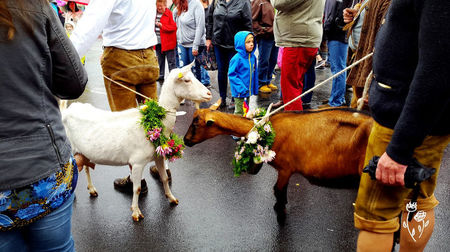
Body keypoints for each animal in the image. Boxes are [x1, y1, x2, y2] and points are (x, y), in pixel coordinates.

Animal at [61, 62, 213, 220]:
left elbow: (164, 178)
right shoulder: (137, 162)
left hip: (83, 151)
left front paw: (171, 198)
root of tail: (67, 110)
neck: (155, 121)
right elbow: (137, 188)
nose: (209, 94)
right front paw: (136, 212)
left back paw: (92, 190)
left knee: (85, 167)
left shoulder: (158, 157)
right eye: (187, 80)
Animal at [183, 107, 372, 223]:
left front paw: (281, 213)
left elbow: (278, 190)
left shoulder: (286, 168)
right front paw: (279, 207)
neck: (268, 128)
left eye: (196, 124)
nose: (185, 141)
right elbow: (280, 191)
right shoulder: (285, 170)